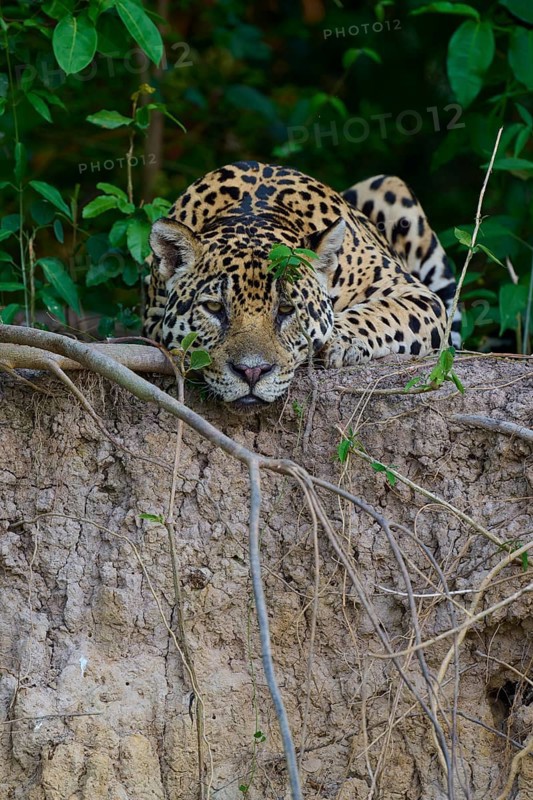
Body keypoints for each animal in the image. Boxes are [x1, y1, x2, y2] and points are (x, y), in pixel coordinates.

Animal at [143, 161, 461, 412]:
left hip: (389, 188)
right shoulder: (152, 317)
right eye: (213, 307)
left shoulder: (417, 294)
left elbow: (383, 313)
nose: (252, 372)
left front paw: (339, 341)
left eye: (286, 309)